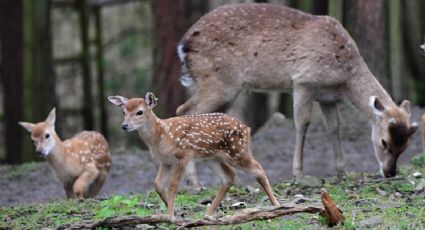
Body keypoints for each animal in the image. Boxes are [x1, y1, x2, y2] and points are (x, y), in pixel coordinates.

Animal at [108, 92, 278, 218]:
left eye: (139, 112)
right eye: (123, 111)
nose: (124, 126)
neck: (162, 135)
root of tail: (247, 128)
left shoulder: (183, 156)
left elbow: (173, 185)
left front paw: (170, 216)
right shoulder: (165, 161)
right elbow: (157, 184)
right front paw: (172, 210)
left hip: (238, 151)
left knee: (258, 170)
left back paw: (276, 205)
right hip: (212, 157)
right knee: (229, 177)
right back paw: (208, 214)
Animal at [174, 4, 416, 180]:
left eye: (404, 146)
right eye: (384, 141)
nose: (389, 173)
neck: (344, 78)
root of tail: (183, 44)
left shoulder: (328, 98)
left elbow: (334, 127)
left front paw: (342, 171)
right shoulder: (303, 81)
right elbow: (302, 123)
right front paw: (298, 173)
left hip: (219, 88)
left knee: (189, 112)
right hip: (219, 83)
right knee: (188, 113)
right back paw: (193, 181)